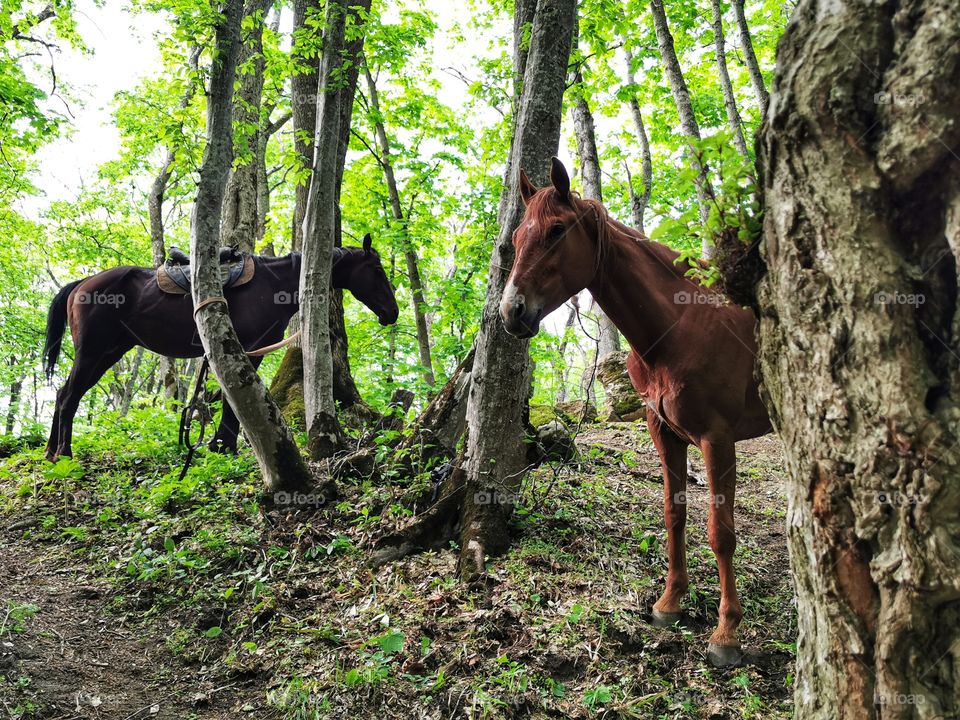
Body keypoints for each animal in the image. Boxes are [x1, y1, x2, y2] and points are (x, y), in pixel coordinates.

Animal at [42, 234, 399, 462]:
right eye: (377, 271)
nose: (392, 312)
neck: (274, 285)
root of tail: (82, 284)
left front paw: (219, 444)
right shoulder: (248, 349)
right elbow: (236, 399)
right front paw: (224, 445)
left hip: (107, 353)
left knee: (63, 394)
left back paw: (50, 452)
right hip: (93, 353)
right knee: (68, 396)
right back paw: (64, 453)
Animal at [499, 159, 771, 667]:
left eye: (557, 230)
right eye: (518, 236)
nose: (511, 312)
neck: (678, 327)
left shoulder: (718, 439)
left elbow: (720, 533)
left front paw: (727, 633)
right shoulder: (663, 432)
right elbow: (674, 514)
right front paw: (670, 602)